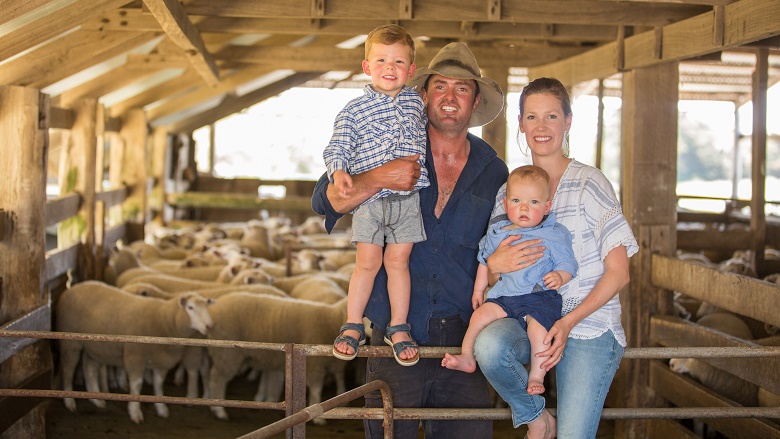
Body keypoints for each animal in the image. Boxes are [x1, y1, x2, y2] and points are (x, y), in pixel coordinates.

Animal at [55, 282, 215, 422]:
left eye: (206, 307)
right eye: (190, 307)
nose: (209, 326)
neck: (164, 320)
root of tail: (73, 288)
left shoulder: (162, 361)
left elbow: (158, 384)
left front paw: (161, 408)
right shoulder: (135, 356)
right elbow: (137, 385)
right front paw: (135, 412)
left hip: (95, 346)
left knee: (89, 369)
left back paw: (96, 399)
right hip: (70, 342)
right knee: (68, 368)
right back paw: (69, 401)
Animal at [206, 294, 346, 424]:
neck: (331, 319)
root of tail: (214, 309)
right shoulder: (315, 363)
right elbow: (317, 388)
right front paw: (318, 418)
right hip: (228, 352)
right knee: (217, 378)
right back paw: (219, 410)